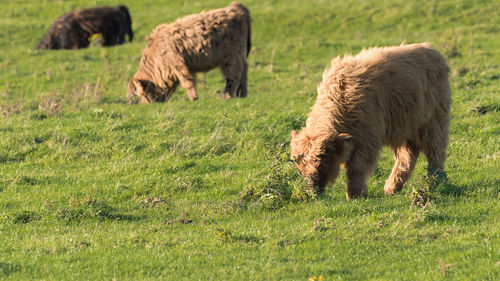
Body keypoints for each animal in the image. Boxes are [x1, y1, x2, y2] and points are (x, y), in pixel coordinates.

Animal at [292, 42, 452, 199]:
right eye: (301, 166)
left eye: (322, 162)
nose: (312, 188)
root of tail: (431, 49)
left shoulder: (367, 138)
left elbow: (356, 168)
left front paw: (355, 194)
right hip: (405, 125)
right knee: (407, 156)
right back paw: (392, 187)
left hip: (434, 121)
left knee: (435, 152)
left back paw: (434, 181)